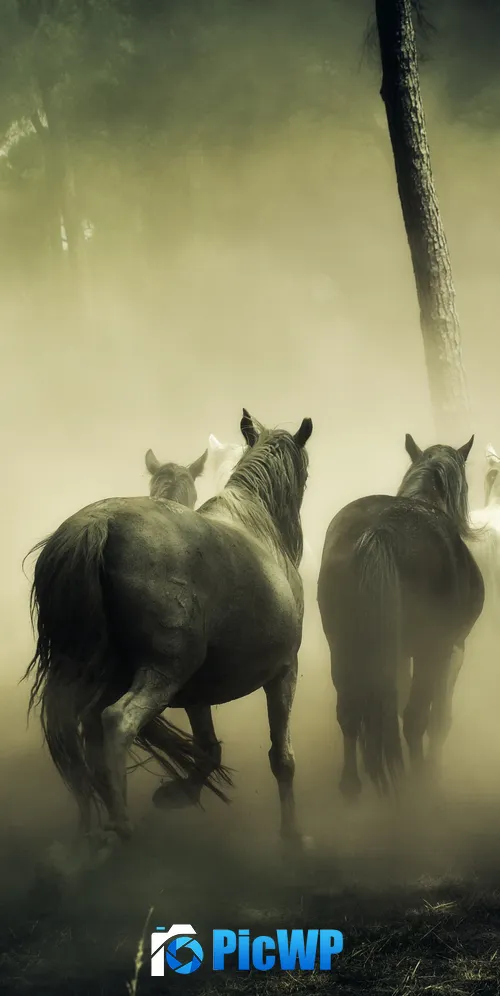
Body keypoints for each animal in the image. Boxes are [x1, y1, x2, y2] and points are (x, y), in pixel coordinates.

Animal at [25, 409, 313, 855]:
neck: (258, 525)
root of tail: (98, 526)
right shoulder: (284, 671)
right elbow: (281, 757)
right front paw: (293, 835)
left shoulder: (197, 691)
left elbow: (208, 749)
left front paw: (177, 794)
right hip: (163, 672)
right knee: (115, 721)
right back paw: (120, 825)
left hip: (92, 673)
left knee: (73, 737)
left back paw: (88, 831)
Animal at [317, 434, 484, 800]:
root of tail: (382, 530)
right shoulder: (452, 649)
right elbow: (439, 719)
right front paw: (433, 768)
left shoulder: (395, 654)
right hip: (428, 650)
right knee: (415, 719)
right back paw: (420, 785)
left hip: (344, 646)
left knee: (349, 712)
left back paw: (351, 784)